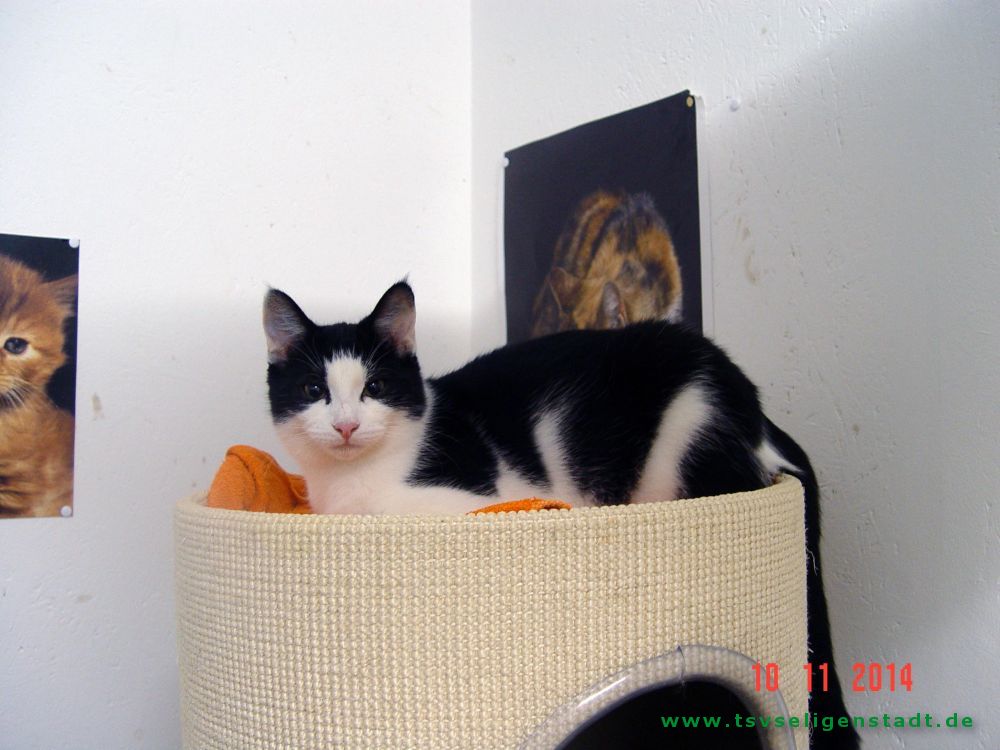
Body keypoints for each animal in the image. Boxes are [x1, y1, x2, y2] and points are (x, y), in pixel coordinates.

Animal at [264, 280, 857, 748]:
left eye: (376, 387)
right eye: (314, 390)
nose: (345, 425)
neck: (352, 479)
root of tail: (760, 417)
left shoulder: (476, 498)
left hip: (688, 425)